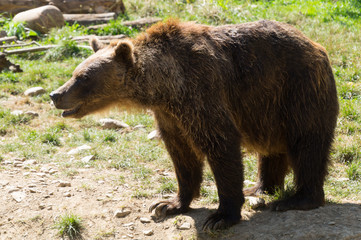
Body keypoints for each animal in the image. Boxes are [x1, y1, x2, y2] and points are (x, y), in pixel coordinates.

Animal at [50, 19, 338, 231]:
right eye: (74, 73)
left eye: (83, 77)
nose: (56, 94)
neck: (164, 88)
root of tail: (316, 45)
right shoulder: (170, 116)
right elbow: (182, 156)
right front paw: (168, 204)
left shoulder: (201, 93)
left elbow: (220, 145)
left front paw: (221, 216)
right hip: (267, 109)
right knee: (272, 149)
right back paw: (260, 187)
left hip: (297, 90)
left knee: (308, 144)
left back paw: (297, 198)